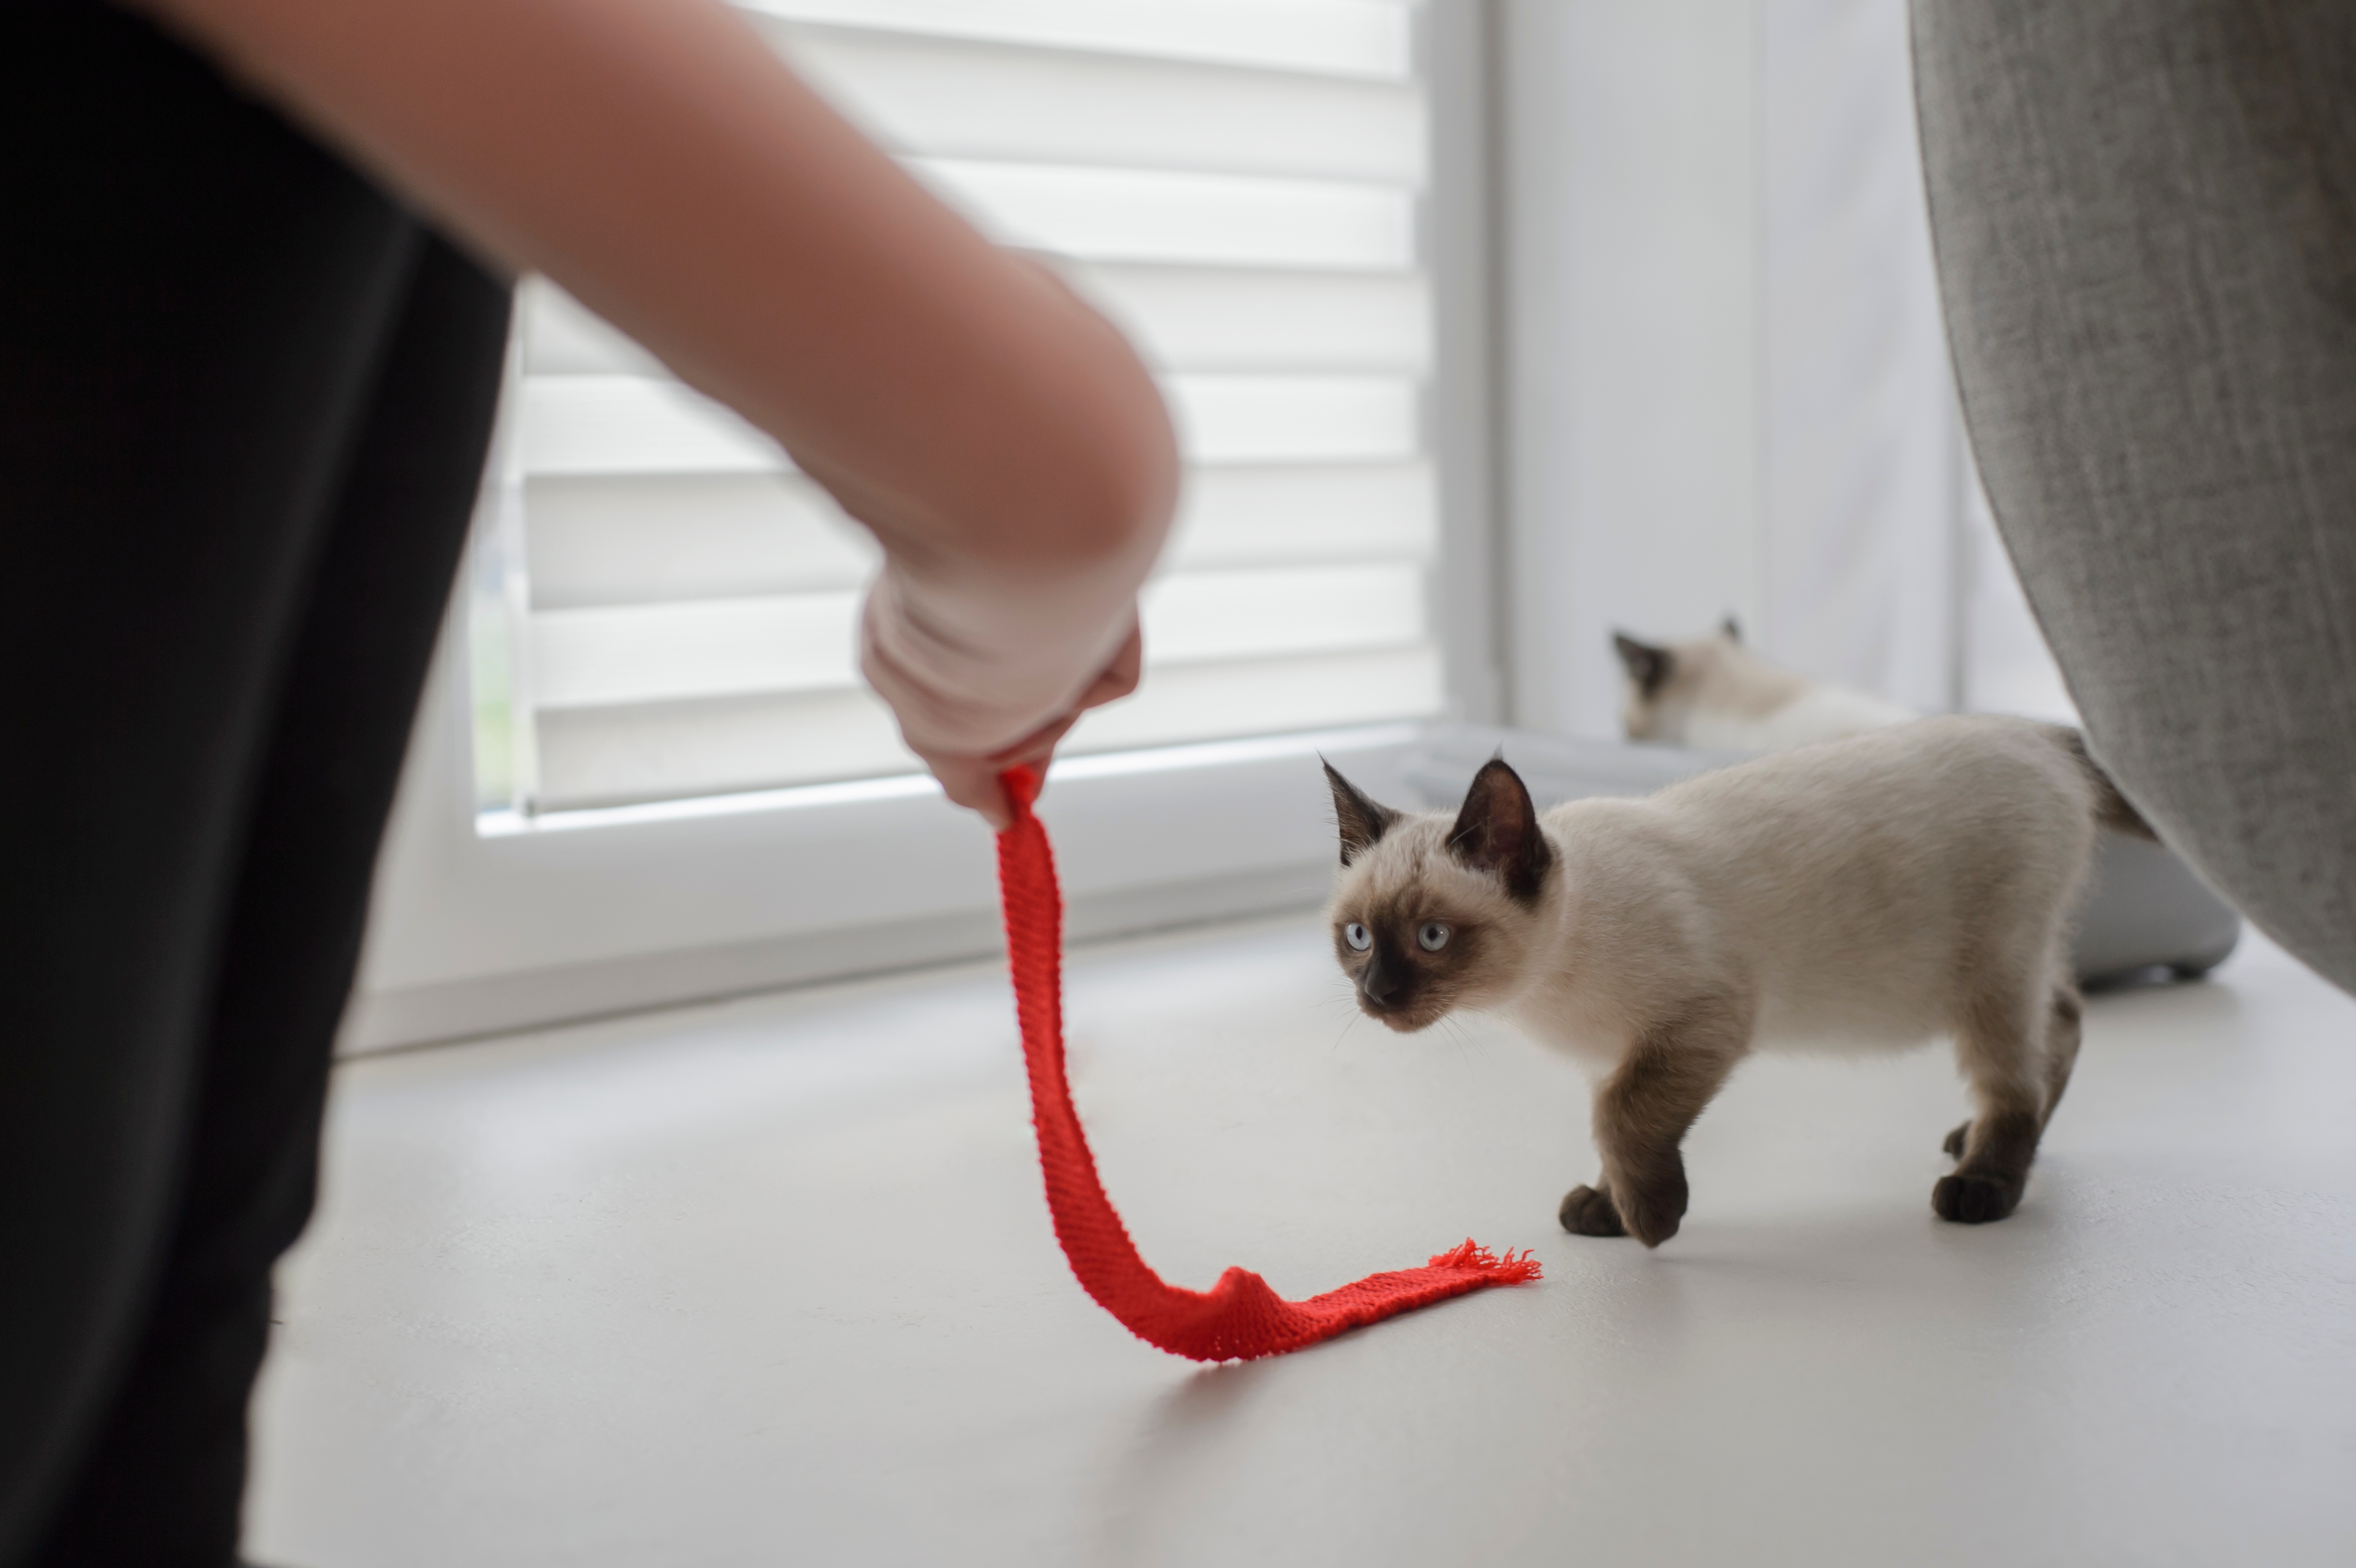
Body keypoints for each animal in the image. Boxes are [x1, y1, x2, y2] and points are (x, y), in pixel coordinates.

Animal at [1328, 715, 2158, 1243]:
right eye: (1358, 937)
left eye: (1432, 937)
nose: (1376, 996)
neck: (1544, 991)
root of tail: (2035, 730)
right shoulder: (1622, 1052)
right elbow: (1611, 1124)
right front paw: (1607, 1206)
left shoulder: (1700, 1021)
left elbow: (1620, 1117)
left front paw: (1651, 1220)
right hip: (2014, 964)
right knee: (2065, 1016)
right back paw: (1988, 1141)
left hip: (1990, 975)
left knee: (2015, 1073)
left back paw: (1982, 1182)